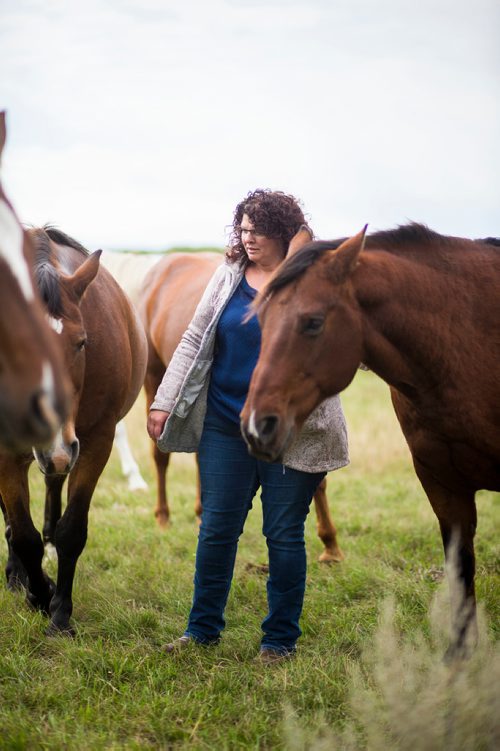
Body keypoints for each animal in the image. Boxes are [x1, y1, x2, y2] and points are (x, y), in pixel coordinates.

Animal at [0, 226, 147, 632]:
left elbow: (72, 530)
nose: (54, 442)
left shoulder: (96, 441)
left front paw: (61, 613)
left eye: (81, 343)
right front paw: (38, 593)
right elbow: (23, 535)